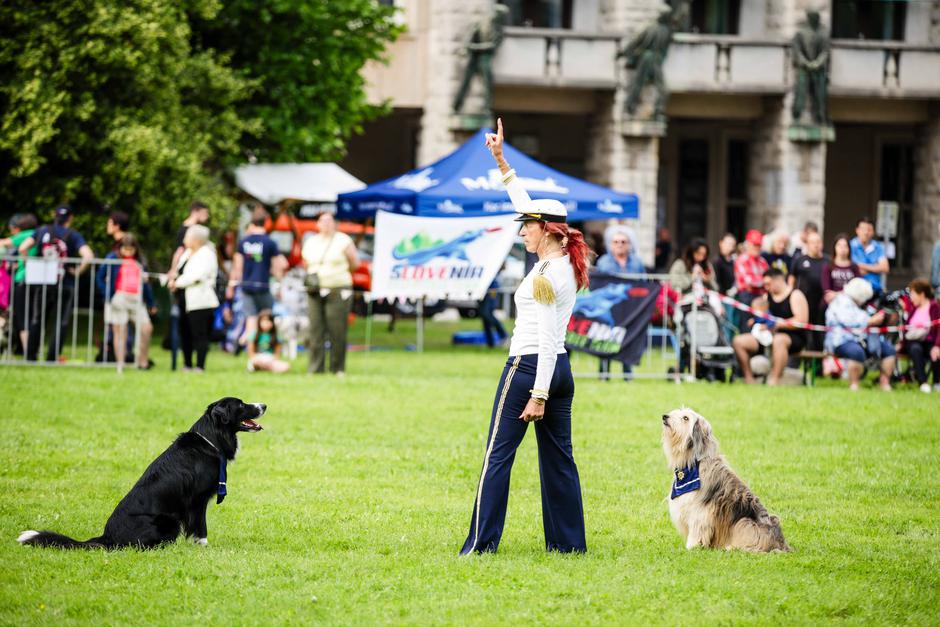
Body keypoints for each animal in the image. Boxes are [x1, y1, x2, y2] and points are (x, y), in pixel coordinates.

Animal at [17, 398, 264, 548]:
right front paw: (203, 548)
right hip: (169, 521)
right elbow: (200, 529)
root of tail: (107, 537)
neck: (211, 438)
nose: (264, 405)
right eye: (241, 405)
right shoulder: (197, 501)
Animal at [660, 410, 792, 552]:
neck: (693, 464)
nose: (665, 416)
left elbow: (697, 529)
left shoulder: (700, 511)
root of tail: (780, 543)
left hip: (745, 523)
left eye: (685, 418)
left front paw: (692, 546)